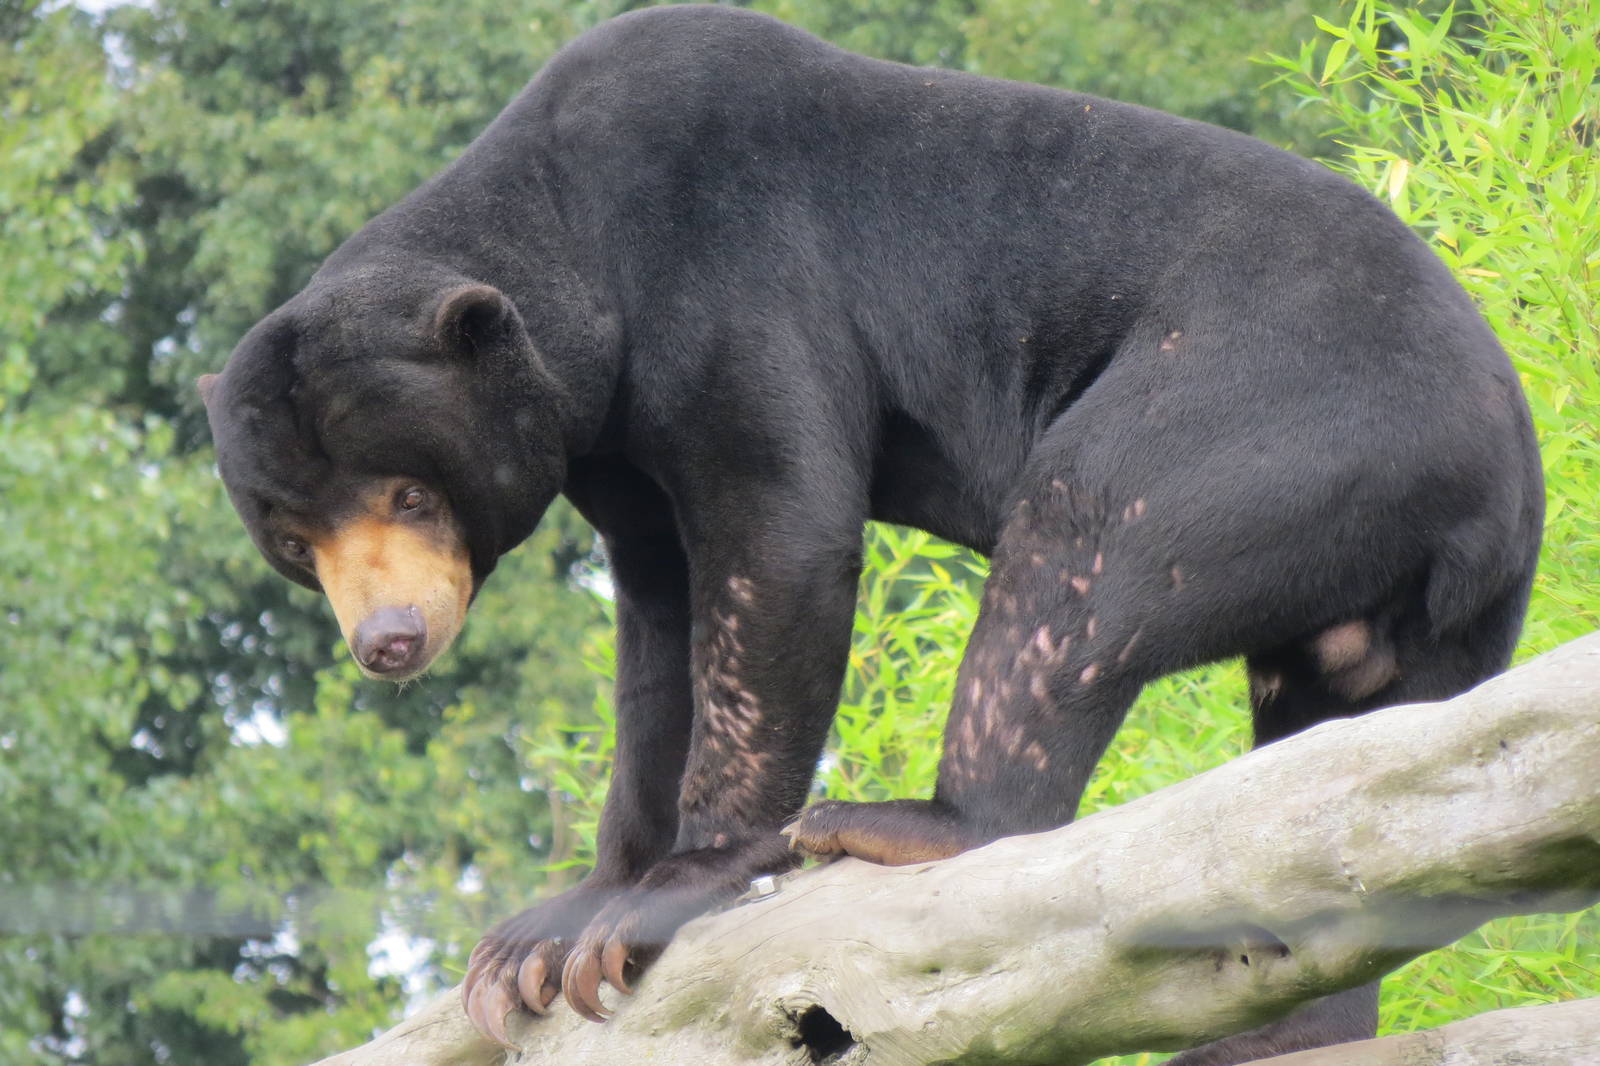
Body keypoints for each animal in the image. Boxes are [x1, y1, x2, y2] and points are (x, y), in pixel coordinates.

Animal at [198, 5, 1544, 1062]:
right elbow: (659, 634)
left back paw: (909, 822)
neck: (579, 247)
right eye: (293, 538)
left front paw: (655, 899)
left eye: (410, 494)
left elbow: (777, 538)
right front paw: (548, 929)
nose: (389, 639)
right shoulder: (616, 455)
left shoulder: (728, 276)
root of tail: (1507, 474)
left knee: (1083, 537)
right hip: (1395, 613)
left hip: (1278, 411)